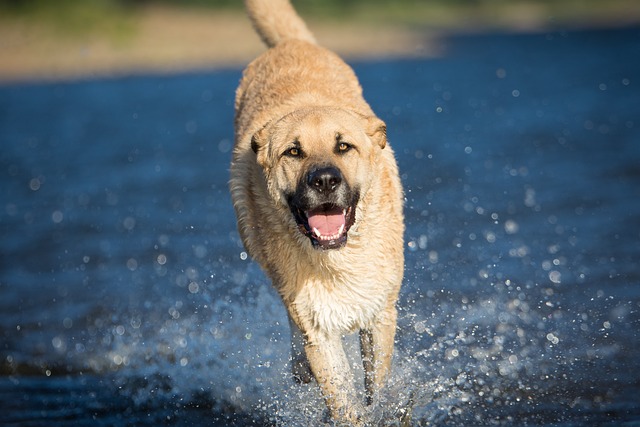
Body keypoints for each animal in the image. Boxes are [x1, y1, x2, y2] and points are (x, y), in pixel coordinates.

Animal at [230, 0, 404, 422]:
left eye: (344, 147)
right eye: (293, 152)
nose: (324, 180)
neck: (339, 257)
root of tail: (290, 44)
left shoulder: (381, 314)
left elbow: (377, 387)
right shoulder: (318, 330)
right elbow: (344, 402)